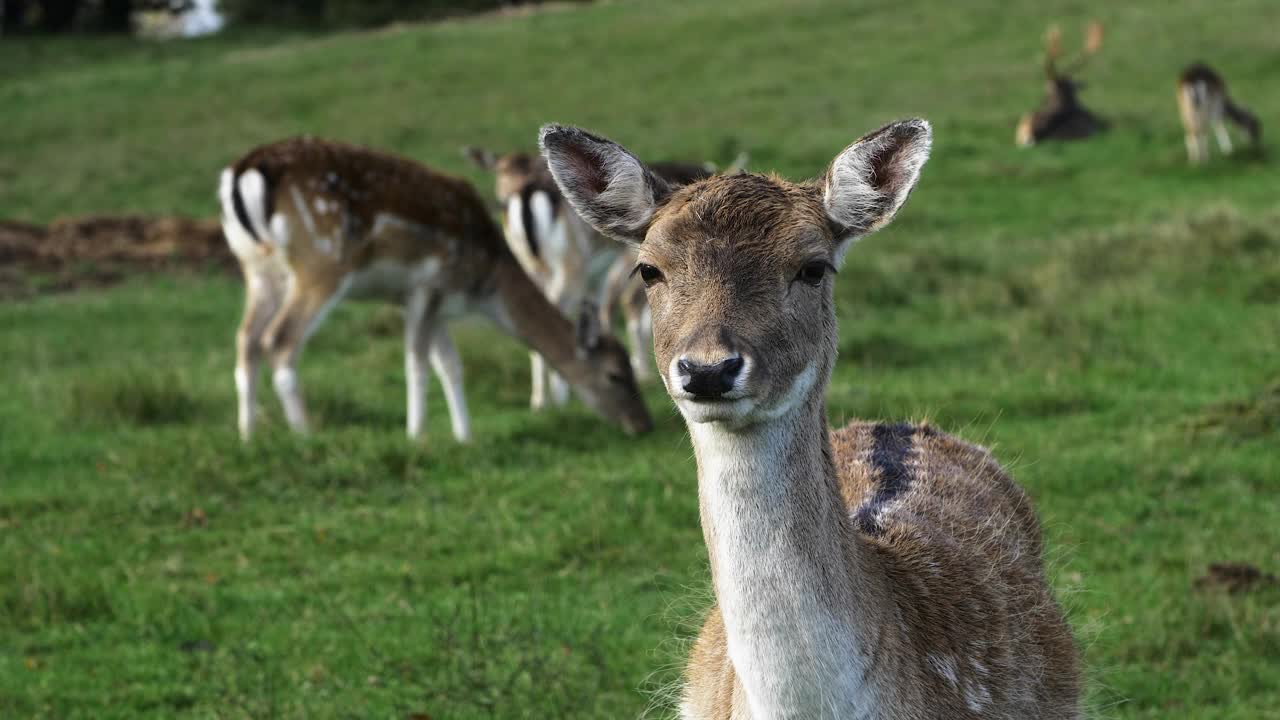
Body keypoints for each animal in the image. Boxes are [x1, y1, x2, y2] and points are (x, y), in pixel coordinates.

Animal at [217, 135, 650, 440]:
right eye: (616, 374)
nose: (641, 423)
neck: (483, 283)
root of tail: (243, 172)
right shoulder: (427, 286)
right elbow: (418, 362)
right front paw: (418, 434)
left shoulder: (440, 302)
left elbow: (450, 366)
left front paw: (465, 435)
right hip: (321, 262)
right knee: (279, 340)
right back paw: (305, 432)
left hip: (257, 268)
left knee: (245, 339)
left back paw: (248, 432)